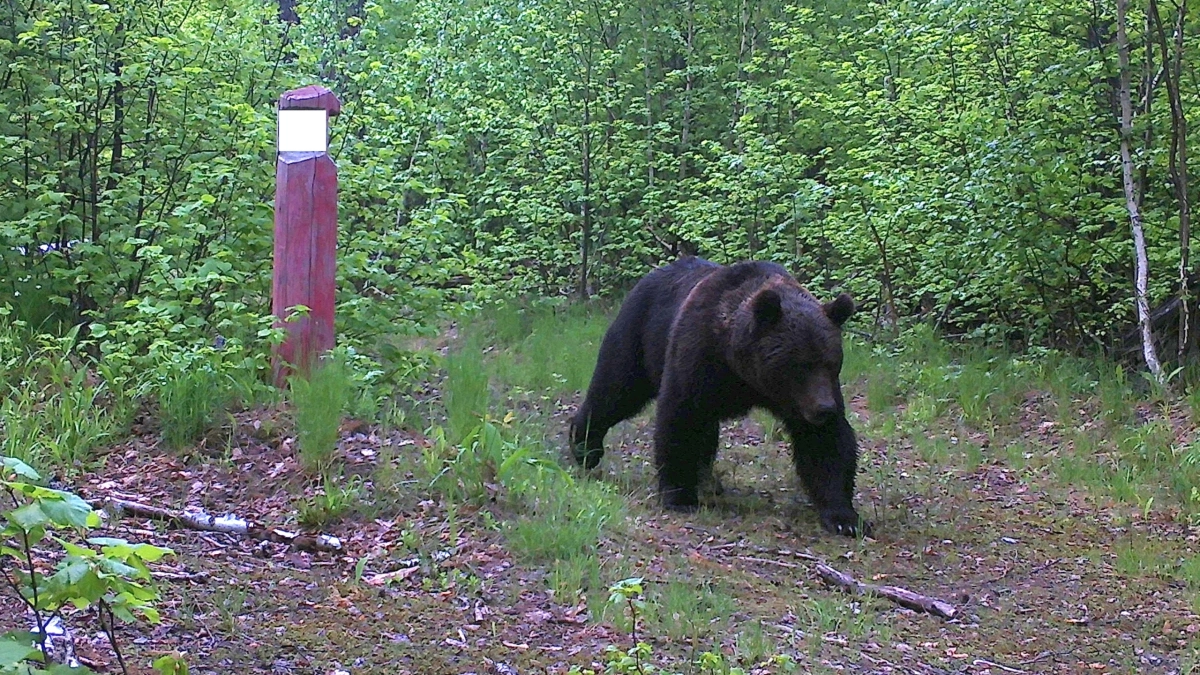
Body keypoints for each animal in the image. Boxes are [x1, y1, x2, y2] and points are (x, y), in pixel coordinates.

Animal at [569, 256, 870, 537]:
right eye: (800, 365)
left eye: (830, 363)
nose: (824, 409)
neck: (741, 368)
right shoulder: (698, 355)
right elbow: (680, 416)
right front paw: (680, 496)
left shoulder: (800, 398)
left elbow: (826, 444)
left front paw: (844, 518)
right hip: (640, 333)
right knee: (616, 388)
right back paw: (585, 447)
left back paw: (708, 479)